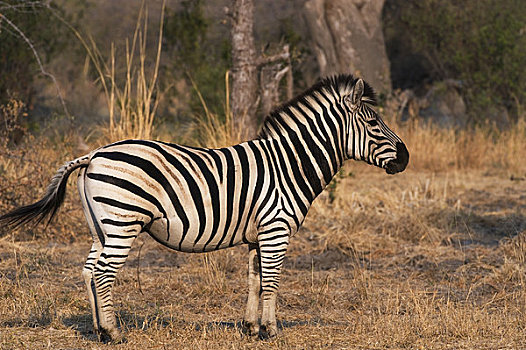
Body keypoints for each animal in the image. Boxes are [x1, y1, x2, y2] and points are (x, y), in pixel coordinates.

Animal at [0, 74, 408, 342]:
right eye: (373, 122)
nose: (405, 158)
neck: (289, 164)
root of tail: (94, 154)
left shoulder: (257, 234)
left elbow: (254, 280)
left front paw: (251, 328)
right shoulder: (276, 228)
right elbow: (272, 281)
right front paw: (272, 331)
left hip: (100, 226)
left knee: (87, 271)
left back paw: (99, 330)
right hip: (121, 222)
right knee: (102, 273)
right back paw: (114, 334)